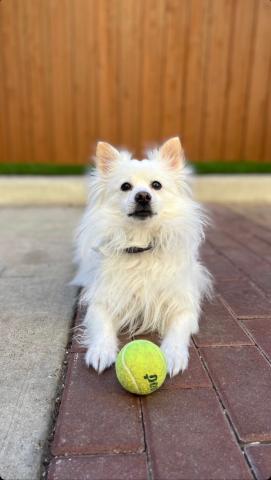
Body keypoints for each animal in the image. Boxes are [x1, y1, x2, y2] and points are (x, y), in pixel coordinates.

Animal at [73, 137, 214, 376]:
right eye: (125, 187)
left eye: (156, 185)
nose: (142, 196)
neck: (141, 243)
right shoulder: (101, 301)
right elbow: (101, 326)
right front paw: (101, 350)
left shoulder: (183, 306)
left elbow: (177, 331)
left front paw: (173, 355)